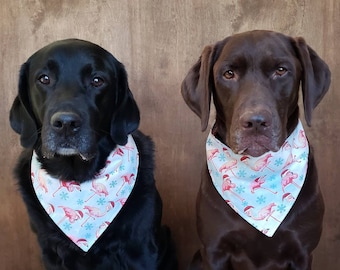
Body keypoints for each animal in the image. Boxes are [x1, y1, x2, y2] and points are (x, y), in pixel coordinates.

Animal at [9, 39, 177, 268]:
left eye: (97, 80)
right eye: (44, 79)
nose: (66, 124)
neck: (78, 177)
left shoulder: (141, 249)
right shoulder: (49, 251)